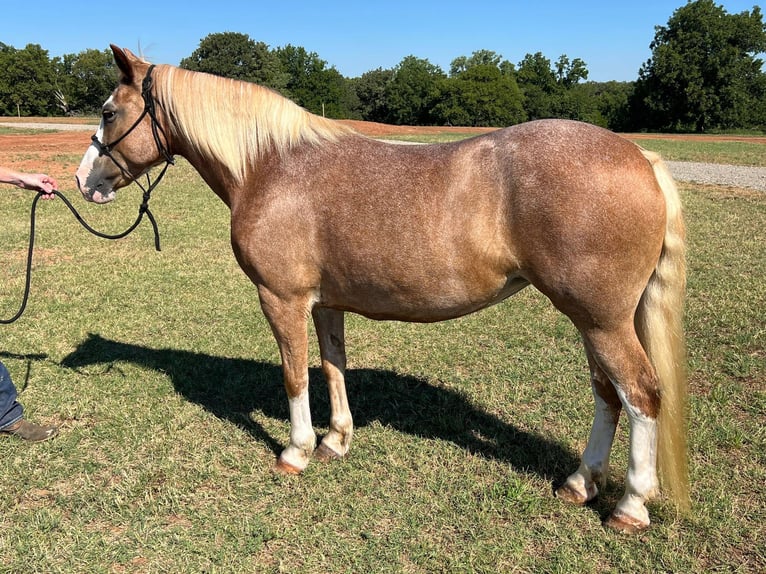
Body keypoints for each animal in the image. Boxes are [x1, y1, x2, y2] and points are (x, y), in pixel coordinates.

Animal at [76, 46, 688, 536]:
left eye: (108, 112)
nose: (84, 181)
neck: (270, 167)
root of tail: (642, 159)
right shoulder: (325, 303)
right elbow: (332, 367)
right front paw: (335, 440)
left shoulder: (281, 299)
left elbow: (295, 376)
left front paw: (295, 451)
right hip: (594, 321)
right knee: (608, 395)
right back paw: (580, 483)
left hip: (602, 320)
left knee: (640, 394)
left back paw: (630, 506)